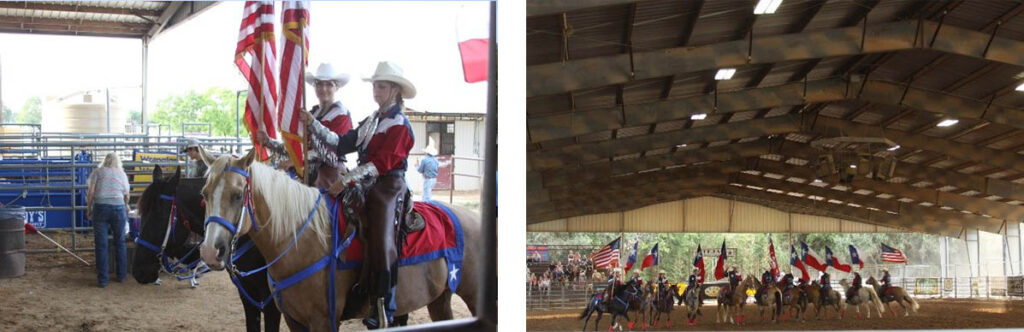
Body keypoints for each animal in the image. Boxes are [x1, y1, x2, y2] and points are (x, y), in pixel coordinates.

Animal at [198, 149, 479, 329]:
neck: (301, 241)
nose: (210, 252)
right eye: (204, 193)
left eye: (237, 195)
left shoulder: (322, 320)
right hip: (440, 299)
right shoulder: (292, 318)